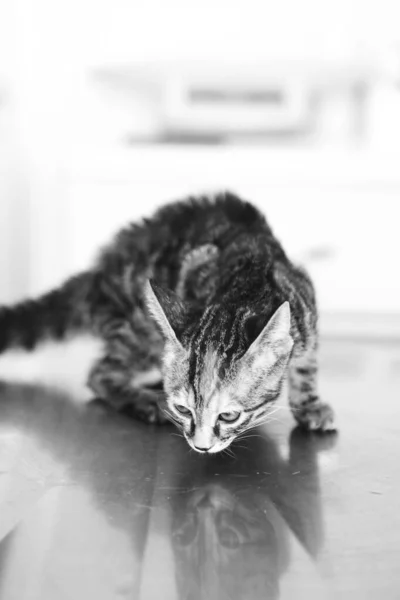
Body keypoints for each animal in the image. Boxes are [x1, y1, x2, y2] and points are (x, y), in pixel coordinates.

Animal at [0, 192, 334, 450]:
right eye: (183, 410)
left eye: (228, 416)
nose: (201, 446)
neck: (248, 281)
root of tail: (99, 276)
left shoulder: (306, 301)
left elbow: (306, 366)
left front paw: (310, 405)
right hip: (141, 331)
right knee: (100, 374)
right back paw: (144, 401)